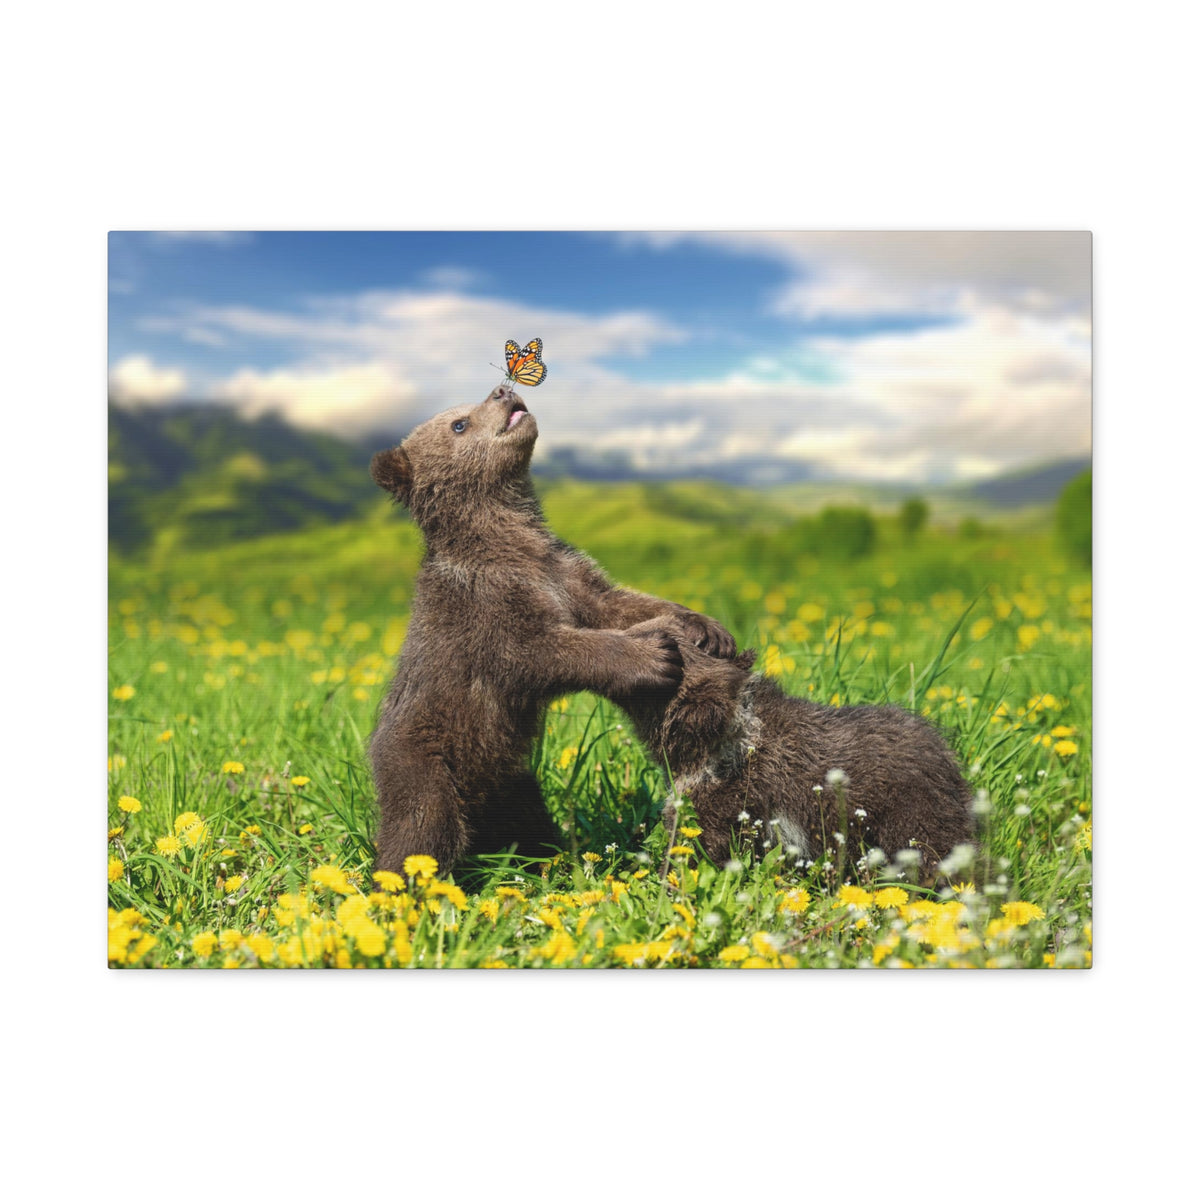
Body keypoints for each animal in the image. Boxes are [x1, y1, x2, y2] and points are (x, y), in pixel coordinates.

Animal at [367, 384, 736, 876]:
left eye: (467, 407)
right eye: (459, 423)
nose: (502, 390)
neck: (509, 541)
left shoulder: (566, 574)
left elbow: (618, 604)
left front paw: (706, 627)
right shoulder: (485, 607)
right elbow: (537, 651)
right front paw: (652, 657)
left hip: (510, 778)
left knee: (528, 822)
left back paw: (548, 859)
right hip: (424, 758)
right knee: (420, 829)